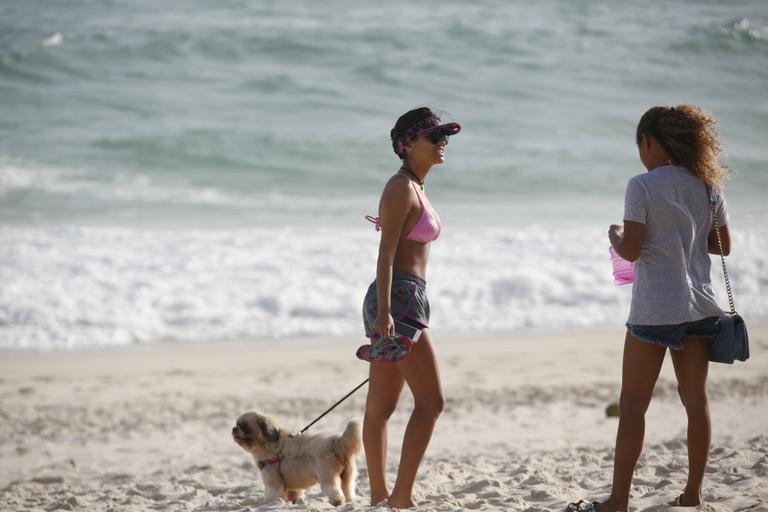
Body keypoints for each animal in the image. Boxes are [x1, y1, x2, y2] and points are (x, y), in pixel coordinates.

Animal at [232, 412, 362, 504]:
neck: (266, 443)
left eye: (245, 427)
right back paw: (349, 500)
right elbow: (294, 494)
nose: (234, 429)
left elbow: (272, 495)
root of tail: (336, 443)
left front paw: (267, 504)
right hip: (347, 475)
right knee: (347, 489)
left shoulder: (272, 480)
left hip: (327, 476)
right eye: (237, 424)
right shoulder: (293, 486)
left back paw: (337, 502)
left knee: (334, 491)